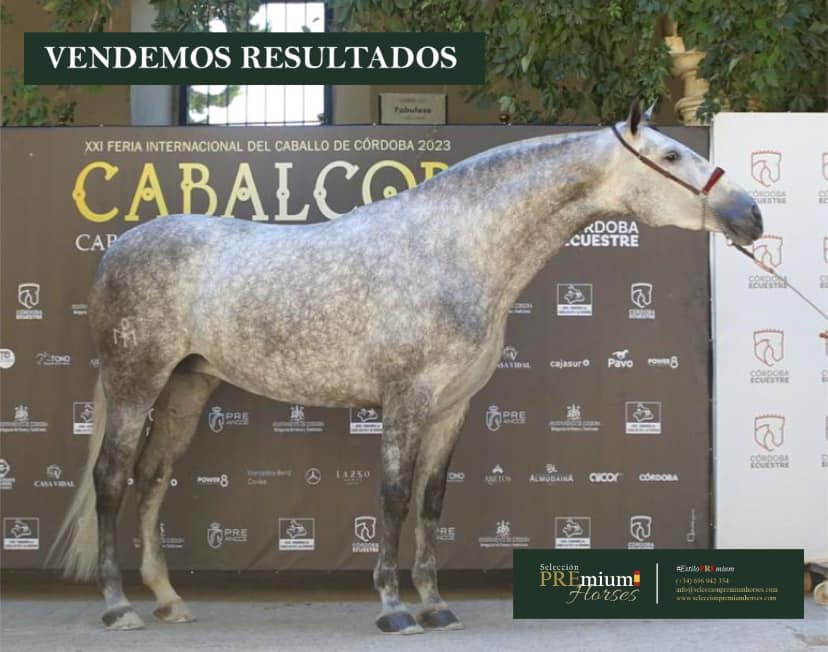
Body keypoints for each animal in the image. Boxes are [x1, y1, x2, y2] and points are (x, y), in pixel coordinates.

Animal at [48, 101, 762, 634]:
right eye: (670, 157)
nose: (750, 215)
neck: (454, 251)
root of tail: (117, 248)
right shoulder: (405, 399)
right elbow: (393, 498)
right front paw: (393, 609)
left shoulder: (452, 407)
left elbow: (432, 500)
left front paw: (436, 606)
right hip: (136, 385)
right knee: (111, 481)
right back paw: (118, 607)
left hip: (187, 387)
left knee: (152, 480)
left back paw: (169, 601)